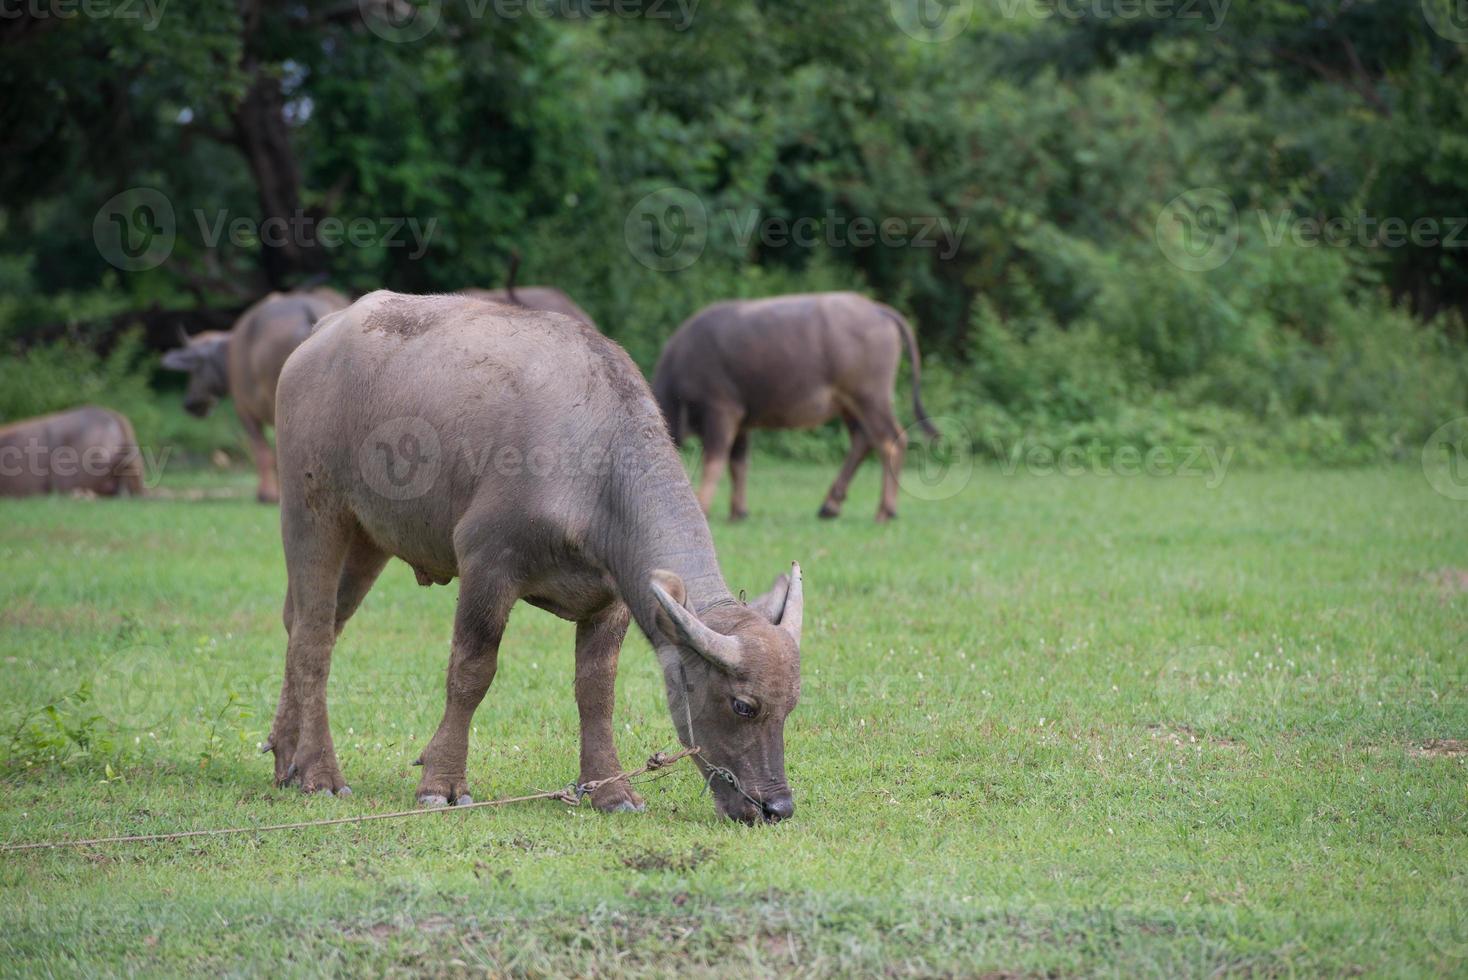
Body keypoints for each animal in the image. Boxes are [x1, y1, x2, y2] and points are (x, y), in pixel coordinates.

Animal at [270, 294, 810, 821]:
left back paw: (286, 755)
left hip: (368, 538)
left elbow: (597, 689)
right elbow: (471, 672)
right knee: (314, 638)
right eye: (743, 706)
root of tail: (319, 338)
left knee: (308, 624)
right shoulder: (487, 565)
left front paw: (612, 790)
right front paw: (443, 783)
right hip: (313, 511)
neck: (595, 467)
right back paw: (320, 771)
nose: (776, 807)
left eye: (791, 707)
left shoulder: (612, 598)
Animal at [654, 289, 939, 519]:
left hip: (870, 397)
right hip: (849, 404)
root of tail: (878, 309)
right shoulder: (742, 421)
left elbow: (715, 459)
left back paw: (885, 510)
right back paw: (830, 506)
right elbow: (738, 463)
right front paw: (738, 511)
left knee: (889, 441)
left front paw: (704, 505)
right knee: (863, 440)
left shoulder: (722, 410)